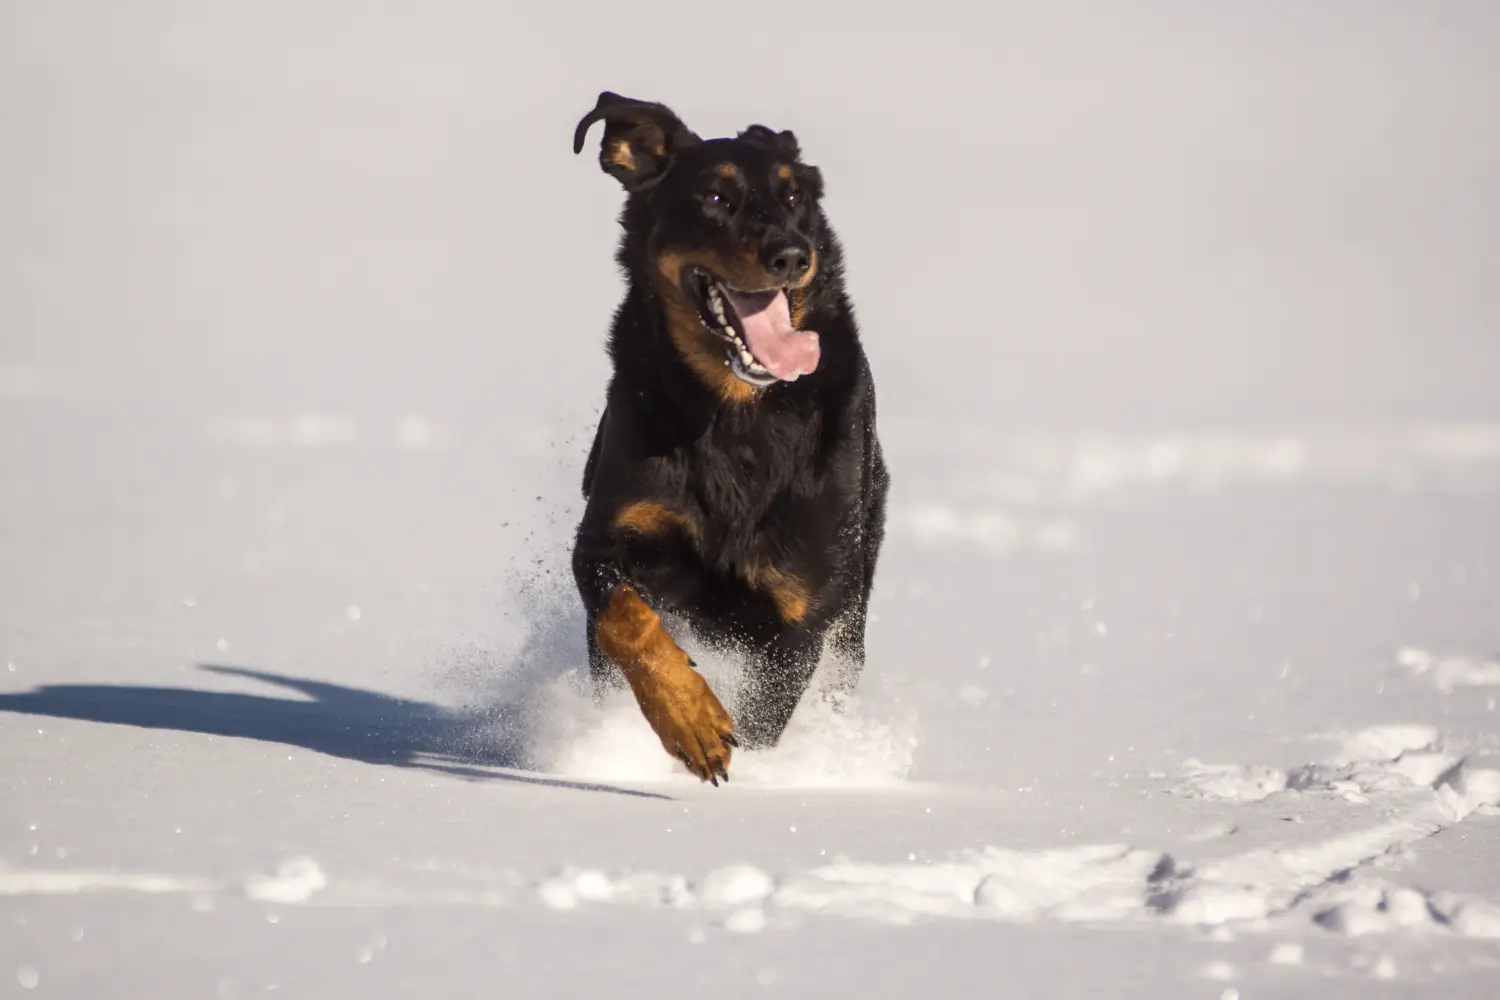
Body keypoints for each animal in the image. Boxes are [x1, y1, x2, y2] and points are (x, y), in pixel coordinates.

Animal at [567, 91, 882, 779]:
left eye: (795, 197)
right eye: (715, 196)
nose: (792, 254)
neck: (734, 413)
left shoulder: (801, 619)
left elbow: (766, 721)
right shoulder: (603, 542)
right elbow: (627, 622)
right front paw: (692, 722)